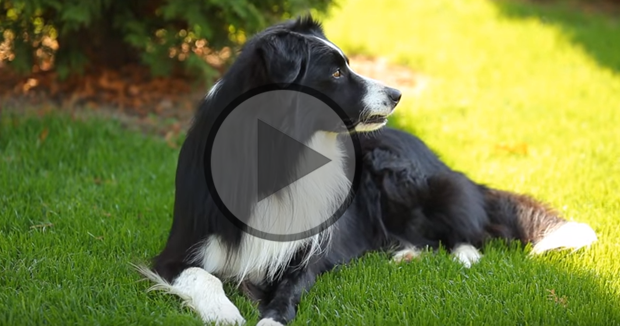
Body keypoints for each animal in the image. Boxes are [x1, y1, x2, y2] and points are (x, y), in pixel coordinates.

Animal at [139, 15, 596, 326]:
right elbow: (204, 277)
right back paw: (405, 253)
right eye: (336, 71)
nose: (397, 94)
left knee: (471, 226)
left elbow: (286, 293)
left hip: (400, 177)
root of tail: (437, 156)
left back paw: (460, 255)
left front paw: (267, 318)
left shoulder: (307, 254)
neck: (281, 156)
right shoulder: (178, 251)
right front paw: (226, 313)